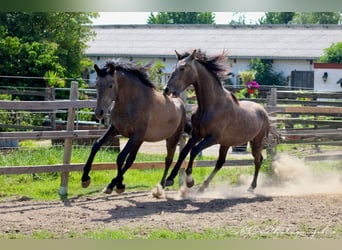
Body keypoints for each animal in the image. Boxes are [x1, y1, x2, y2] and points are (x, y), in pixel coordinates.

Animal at [81, 60, 188, 193]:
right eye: (96, 84)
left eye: (110, 85)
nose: (98, 112)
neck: (132, 103)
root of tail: (181, 103)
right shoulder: (115, 129)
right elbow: (96, 145)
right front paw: (85, 178)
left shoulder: (135, 136)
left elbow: (120, 157)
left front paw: (118, 185)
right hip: (141, 140)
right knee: (131, 160)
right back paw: (113, 184)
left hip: (172, 139)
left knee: (168, 159)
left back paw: (163, 183)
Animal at [163, 49, 278, 192]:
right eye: (174, 67)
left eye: (183, 67)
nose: (166, 89)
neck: (212, 105)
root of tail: (264, 112)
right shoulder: (197, 134)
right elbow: (184, 151)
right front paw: (170, 179)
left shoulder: (213, 138)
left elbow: (194, 150)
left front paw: (189, 181)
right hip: (227, 143)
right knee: (220, 162)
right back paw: (203, 187)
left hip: (256, 142)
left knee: (258, 159)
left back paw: (251, 187)